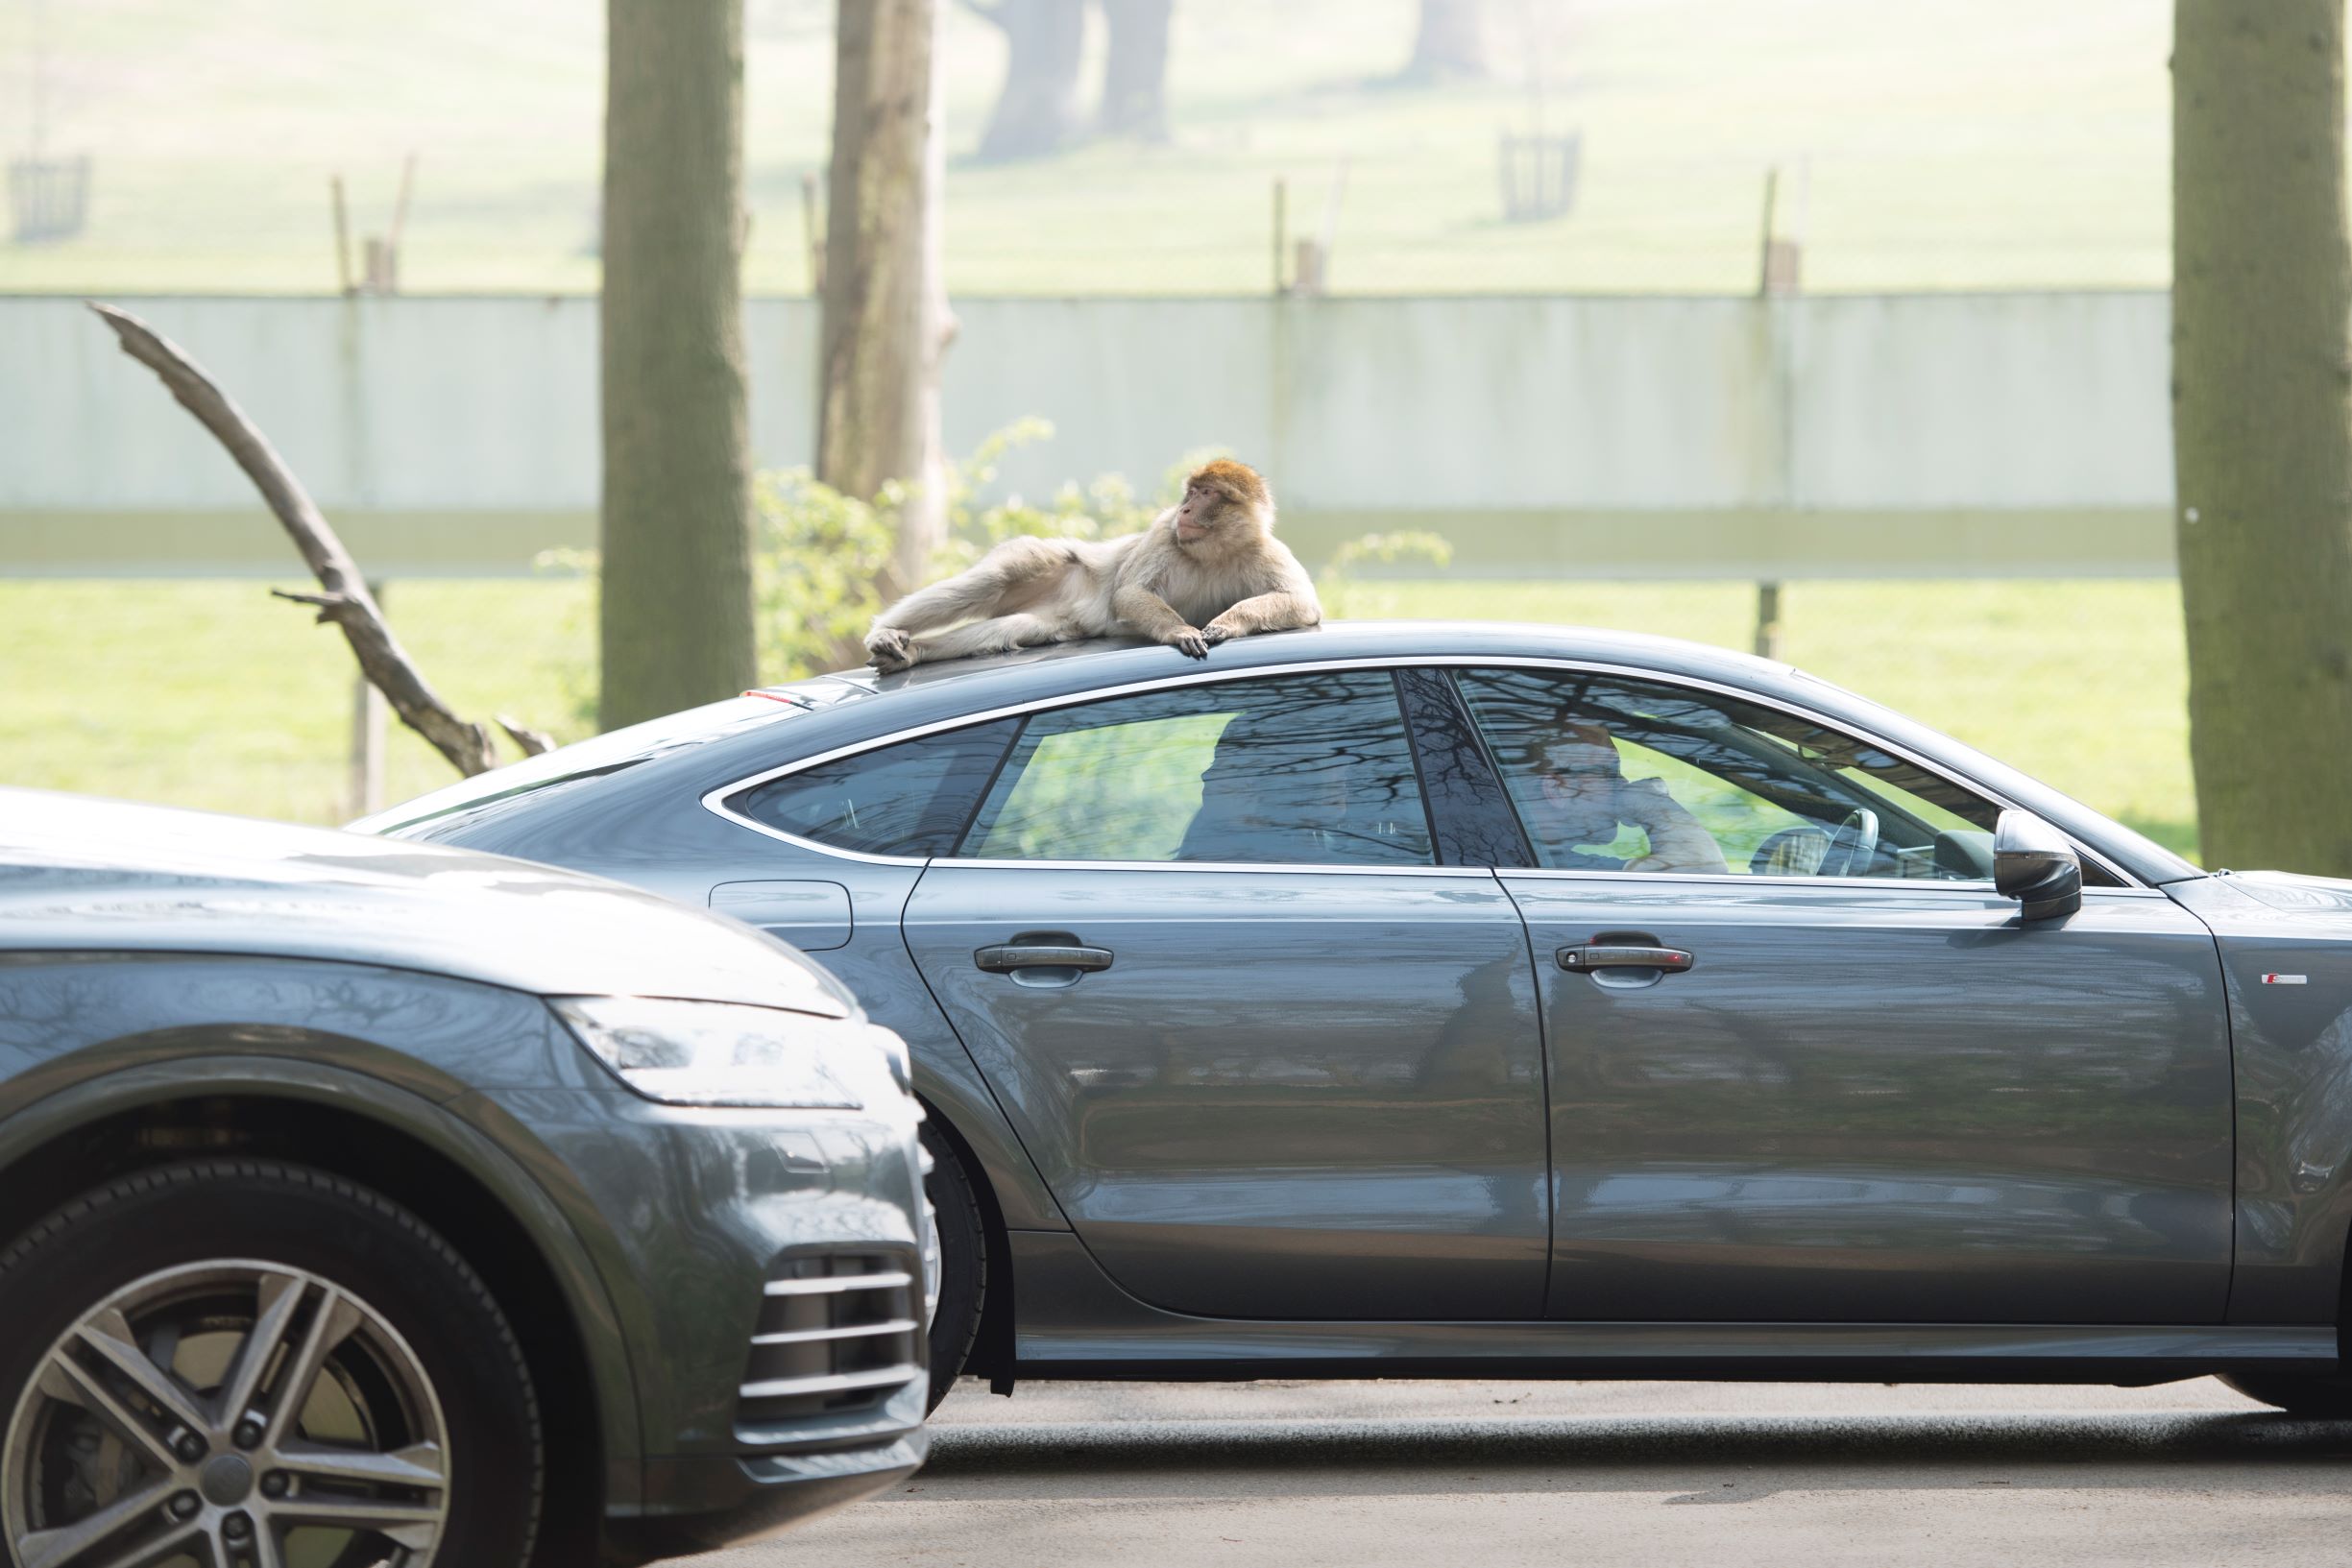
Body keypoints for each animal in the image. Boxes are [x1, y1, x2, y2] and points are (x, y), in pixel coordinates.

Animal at [861, 455, 1326, 672]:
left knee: (1017, 627)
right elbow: (1129, 593)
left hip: (1058, 616)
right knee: (995, 579)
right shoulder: (1164, 533)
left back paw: (915, 652)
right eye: (1191, 492)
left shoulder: (1265, 550)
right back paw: (885, 634)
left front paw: (1228, 622)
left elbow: (1302, 603)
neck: (1214, 550)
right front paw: (1180, 630)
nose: (1186, 510)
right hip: (1055, 566)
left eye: (1208, 493)